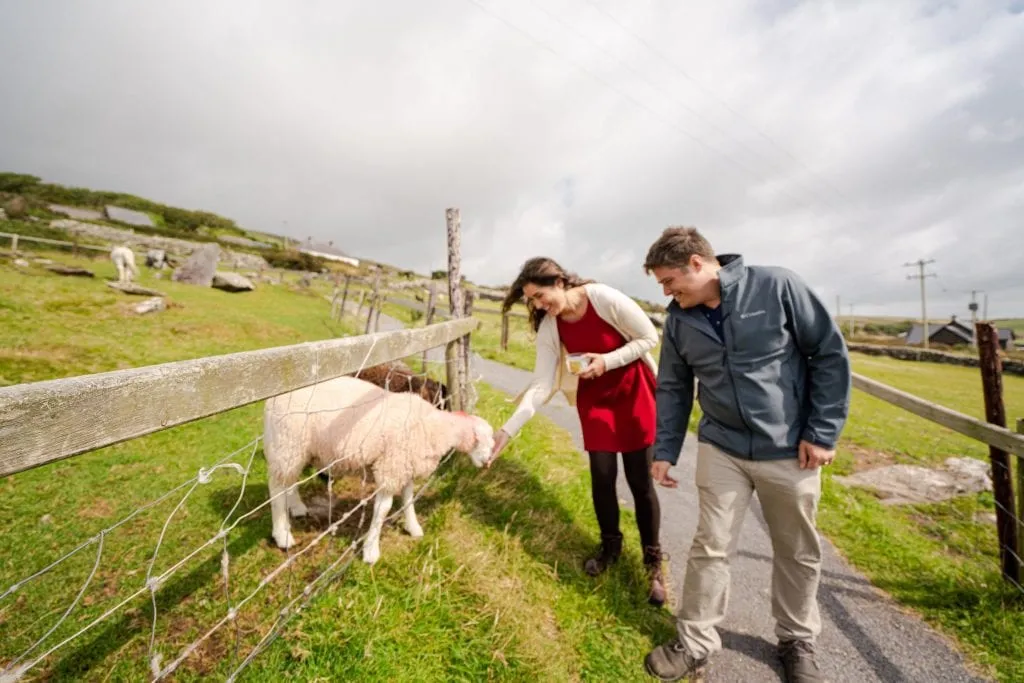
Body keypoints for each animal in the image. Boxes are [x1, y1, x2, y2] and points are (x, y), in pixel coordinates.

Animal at [260, 376, 491, 565]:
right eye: (483, 439)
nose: (488, 461)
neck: (437, 428)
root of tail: (273, 398)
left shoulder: (404, 465)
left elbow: (408, 499)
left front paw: (413, 527)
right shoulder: (390, 467)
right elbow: (383, 509)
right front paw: (371, 550)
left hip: (295, 449)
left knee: (289, 481)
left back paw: (297, 507)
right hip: (287, 442)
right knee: (277, 488)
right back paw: (282, 534)